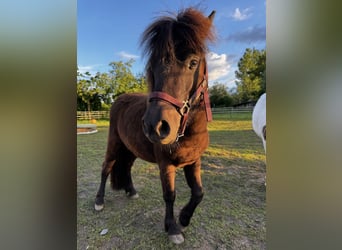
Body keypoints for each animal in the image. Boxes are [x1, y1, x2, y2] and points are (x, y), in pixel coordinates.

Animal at [95, 8, 215, 244]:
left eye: (193, 62)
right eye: (152, 66)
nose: (155, 126)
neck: (188, 132)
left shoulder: (193, 161)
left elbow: (198, 192)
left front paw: (184, 218)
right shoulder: (165, 164)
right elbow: (170, 195)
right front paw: (173, 228)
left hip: (130, 149)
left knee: (126, 167)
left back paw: (131, 191)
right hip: (114, 144)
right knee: (106, 168)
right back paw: (99, 201)